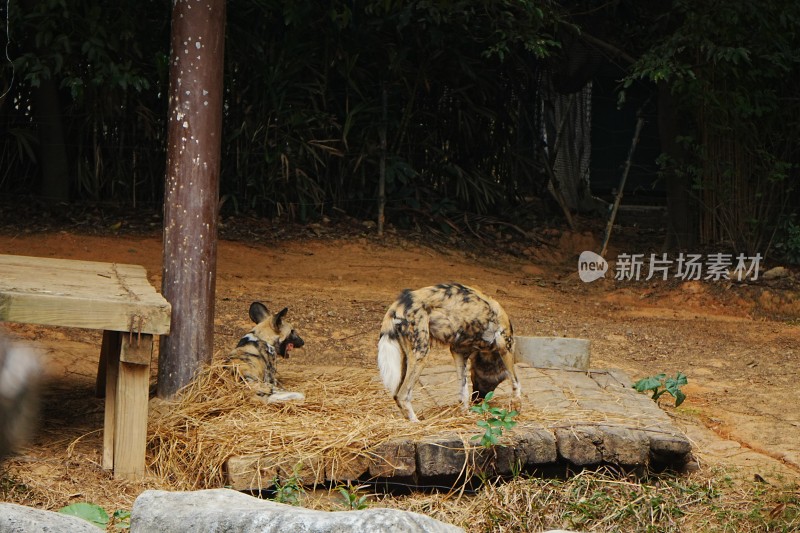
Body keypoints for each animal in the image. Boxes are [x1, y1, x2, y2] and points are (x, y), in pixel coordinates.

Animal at [376, 280, 520, 422]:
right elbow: (516, 381)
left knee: (395, 394)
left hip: (405, 359)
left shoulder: (458, 352)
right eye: (495, 382)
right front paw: (517, 407)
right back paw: (416, 422)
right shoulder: (506, 346)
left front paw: (465, 413)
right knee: (402, 395)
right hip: (421, 355)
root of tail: (399, 304)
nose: (476, 400)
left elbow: (463, 390)